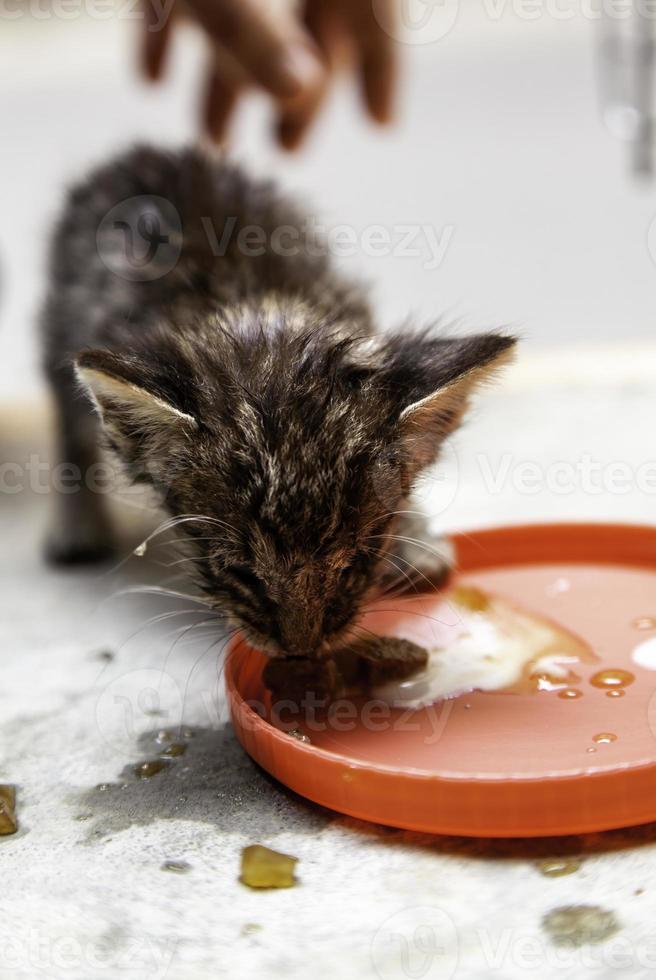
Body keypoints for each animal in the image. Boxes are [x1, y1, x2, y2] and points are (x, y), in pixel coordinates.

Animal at [42, 145, 516, 660]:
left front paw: (413, 540)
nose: (301, 648)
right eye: (240, 571)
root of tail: (144, 150)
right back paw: (77, 526)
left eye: (357, 560)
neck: (257, 306)